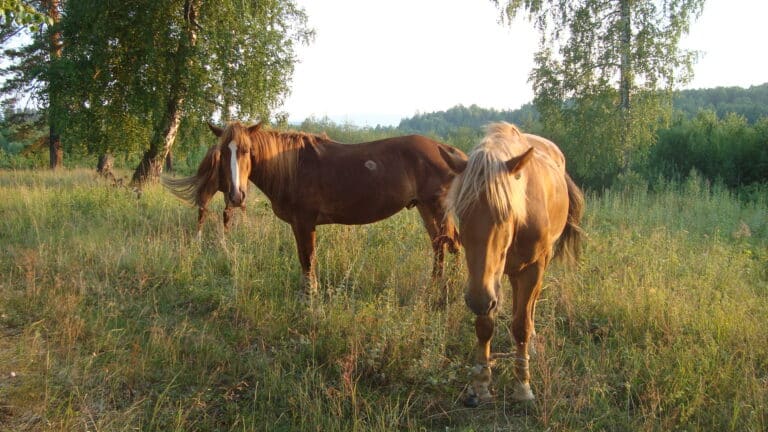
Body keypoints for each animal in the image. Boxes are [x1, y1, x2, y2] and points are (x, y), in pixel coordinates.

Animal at [164, 121, 467, 294]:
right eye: (221, 153)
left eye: (247, 151)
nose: (236, 196)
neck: (292, 167)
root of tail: (447, 150)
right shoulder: (299, 225)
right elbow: (303, 260)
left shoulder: (305, 223)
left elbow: (308, 260)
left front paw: (310, 299)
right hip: (424, 208)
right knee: (440, 246)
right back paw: (435, 288)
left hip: (437, 208)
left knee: (453, 245)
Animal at [438, 122, 584, 407]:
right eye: (461, 213)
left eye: (506, 214)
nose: (478, 300)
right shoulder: (484, 282)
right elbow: (484, 327)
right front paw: (481, 384)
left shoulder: (531, 269)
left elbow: (521, 326)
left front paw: (523, 386)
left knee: (530, 306)